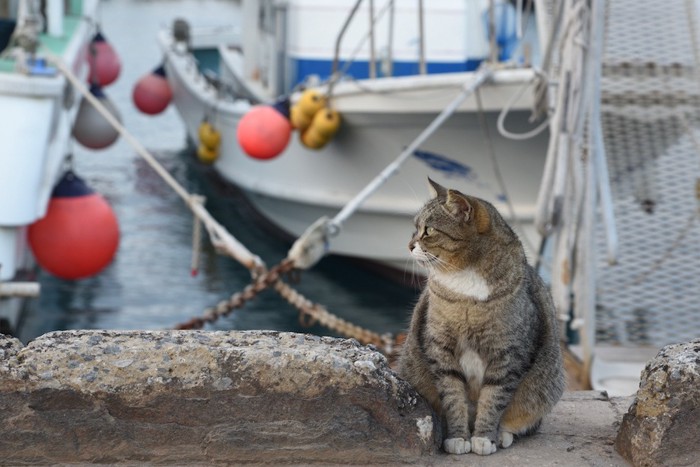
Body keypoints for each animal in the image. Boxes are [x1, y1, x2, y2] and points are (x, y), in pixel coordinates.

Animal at [396, 178, 568, 458]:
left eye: (428, 230)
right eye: (415, 228)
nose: (409, 246)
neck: (464, 279)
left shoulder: (508, 353)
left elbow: (494, 398)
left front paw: (484, 437)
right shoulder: (440, 347)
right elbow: (453, 396)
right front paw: (458, 437)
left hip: (545, 386)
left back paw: (503, 434)